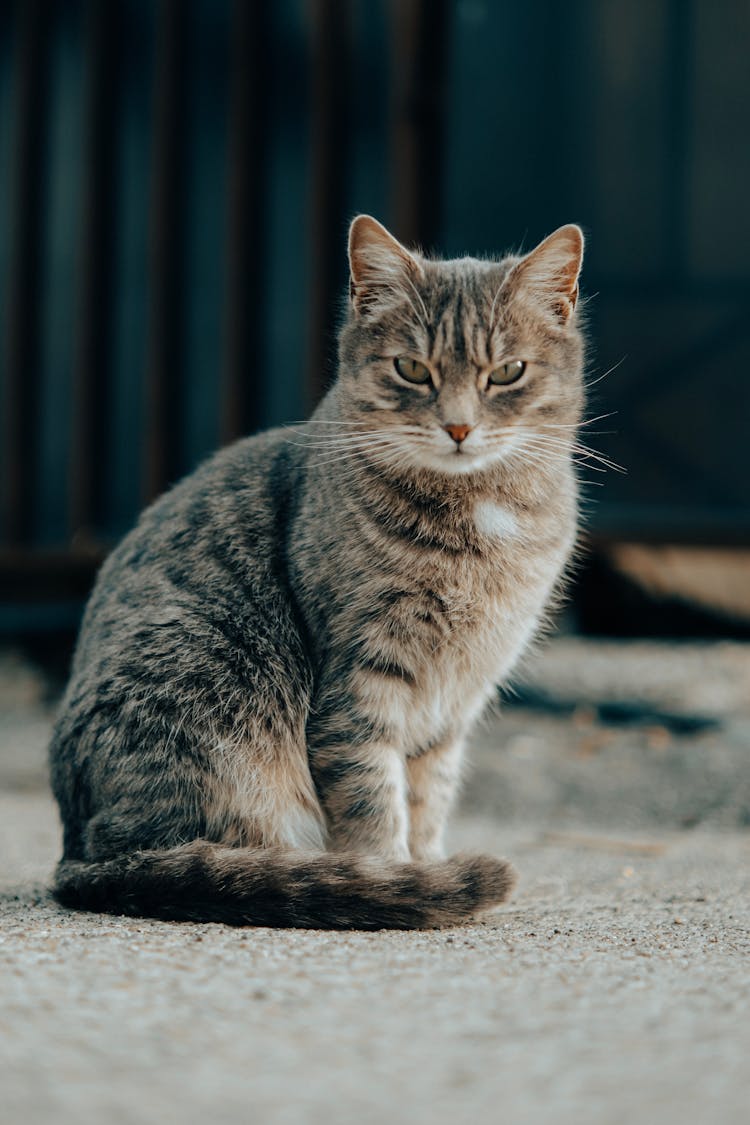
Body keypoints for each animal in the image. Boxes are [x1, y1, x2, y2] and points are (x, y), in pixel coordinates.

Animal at [48, 214, 584, 927]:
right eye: (411, 369)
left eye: (508, 372)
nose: (459, 427)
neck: (476, 520)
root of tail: (75, 851)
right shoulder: (360, 680)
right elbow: (372, 802)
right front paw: (393, 878)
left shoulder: (455, 704)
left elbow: (428, 798)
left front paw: (425, 864)